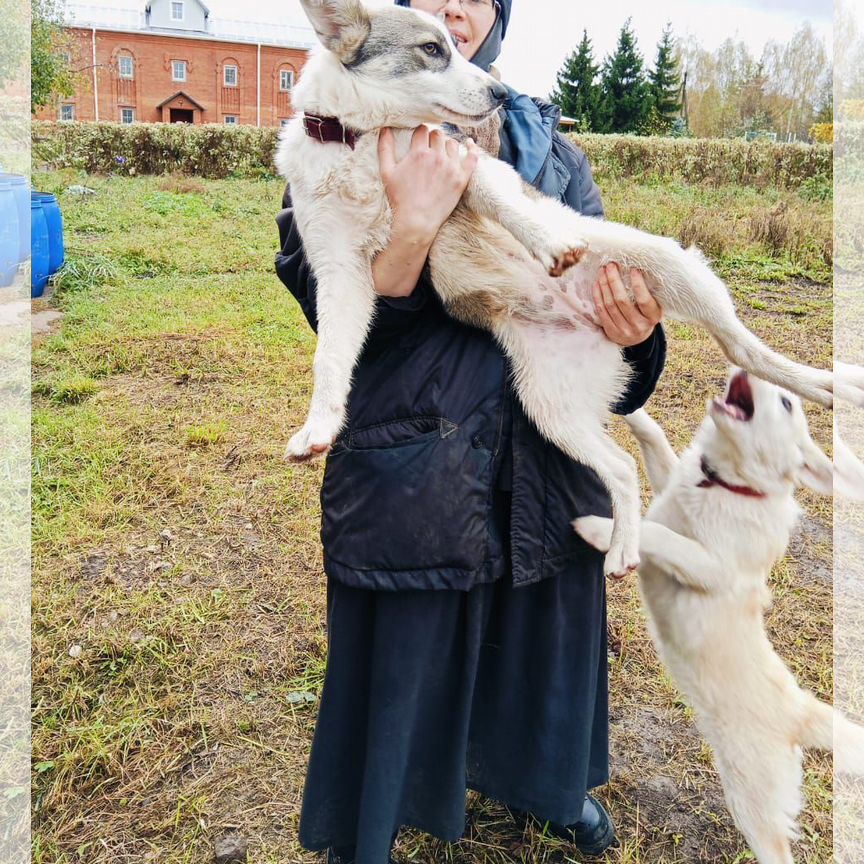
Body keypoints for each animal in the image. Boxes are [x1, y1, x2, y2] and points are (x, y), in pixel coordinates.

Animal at [576, 372, 864, 864]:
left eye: (786, 402)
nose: (741, 372)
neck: (724, 484)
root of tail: (800, 714)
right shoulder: (668, 485)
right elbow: (654, 437)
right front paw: (628, 404)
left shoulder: (711, 569)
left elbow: (658, 535)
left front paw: (605, 533)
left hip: (753, 802)